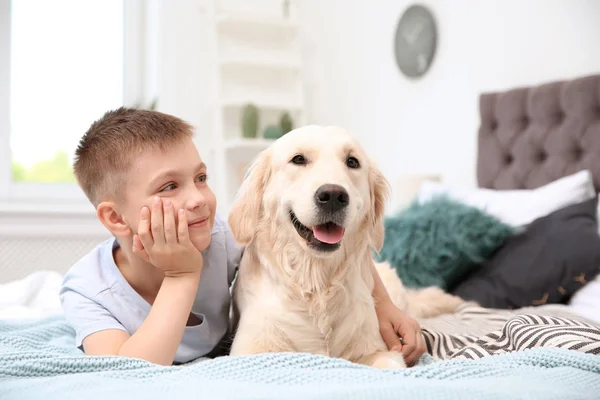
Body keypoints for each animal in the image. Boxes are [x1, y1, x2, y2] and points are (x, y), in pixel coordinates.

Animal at [227, 125, 462, 368]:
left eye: (352, 162)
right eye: (298, 159)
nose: (332, 195)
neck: (318, 283)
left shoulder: (378, 349)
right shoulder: (251, 350)